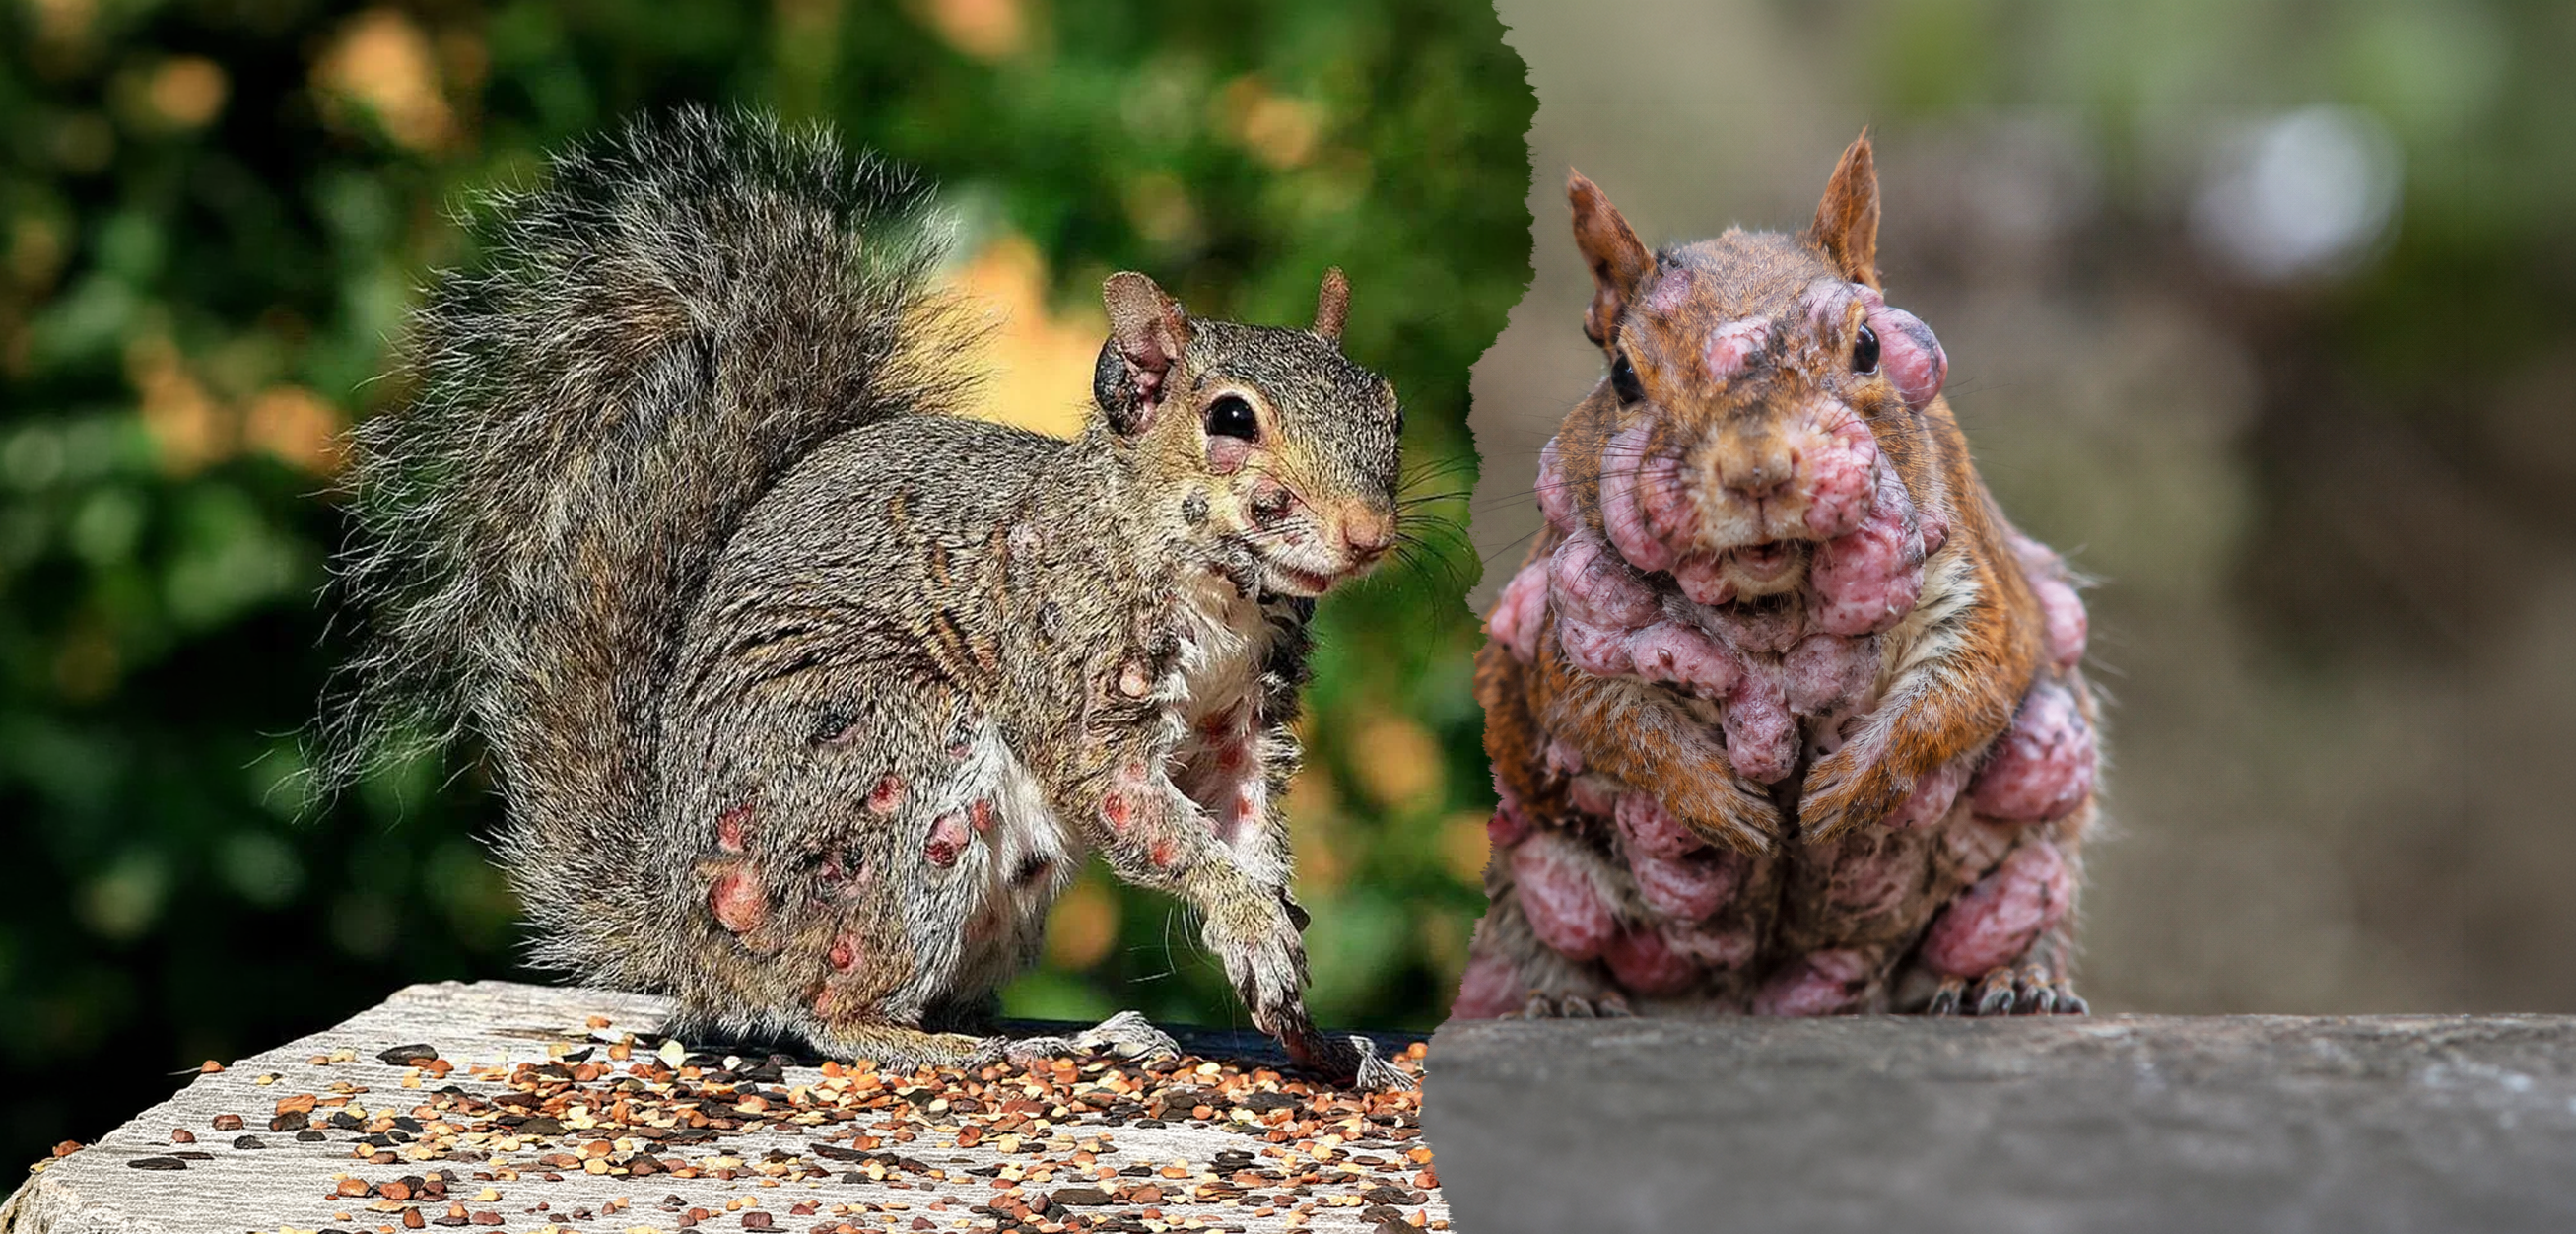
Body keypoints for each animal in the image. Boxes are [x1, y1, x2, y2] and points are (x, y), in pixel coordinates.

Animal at [319, 109, 1410, 1087]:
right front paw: (1250, 919)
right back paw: (970, 1049)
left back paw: (1082, 1037)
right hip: (894, 774)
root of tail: (688, 931)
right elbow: (1145, 814)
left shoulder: (1242, 726)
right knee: (826, 1013)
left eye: (1388, 409)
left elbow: (1246, 824)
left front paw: (1291, 986)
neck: (1218, 590)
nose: (1368, 533)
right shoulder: (1072, 681)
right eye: (1230, 419)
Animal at [1454, 134, 2102, 1020]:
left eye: (1868, 347)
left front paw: (1851, 787)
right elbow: (1605, 720)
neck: (1771, 606)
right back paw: (1559, 1000)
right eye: (1622, 376)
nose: (1757, 471)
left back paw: (2007, 981)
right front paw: (1714, 799)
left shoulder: (1978, 586)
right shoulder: (1560, 624)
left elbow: (1965, 687)